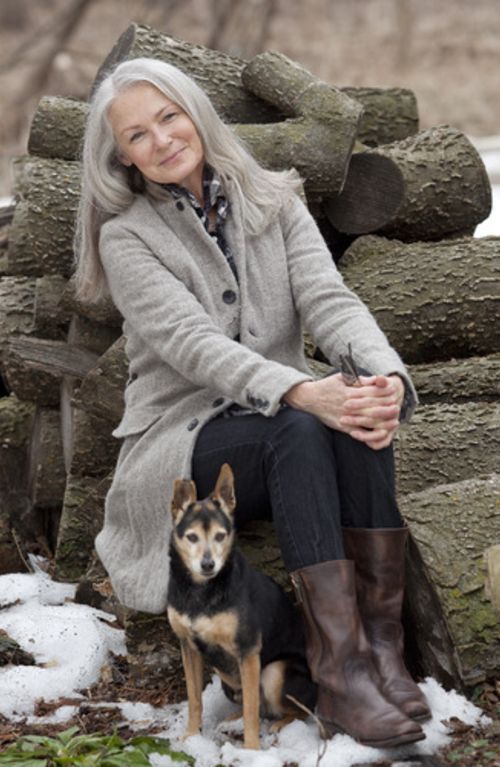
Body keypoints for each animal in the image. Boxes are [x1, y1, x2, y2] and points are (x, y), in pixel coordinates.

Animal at [168, 462, 316, 752]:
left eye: (220, 536)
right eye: (191, 537)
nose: (208, 564)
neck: (201, 591)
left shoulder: (248, 650)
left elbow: (251, 710)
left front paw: (252, 751)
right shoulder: (188, 646)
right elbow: (194, 699)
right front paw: (191, 735)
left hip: (273, 673)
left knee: (296, 710)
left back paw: (281, 724)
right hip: (228, 682)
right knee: (259, 707)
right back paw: (232, 720)